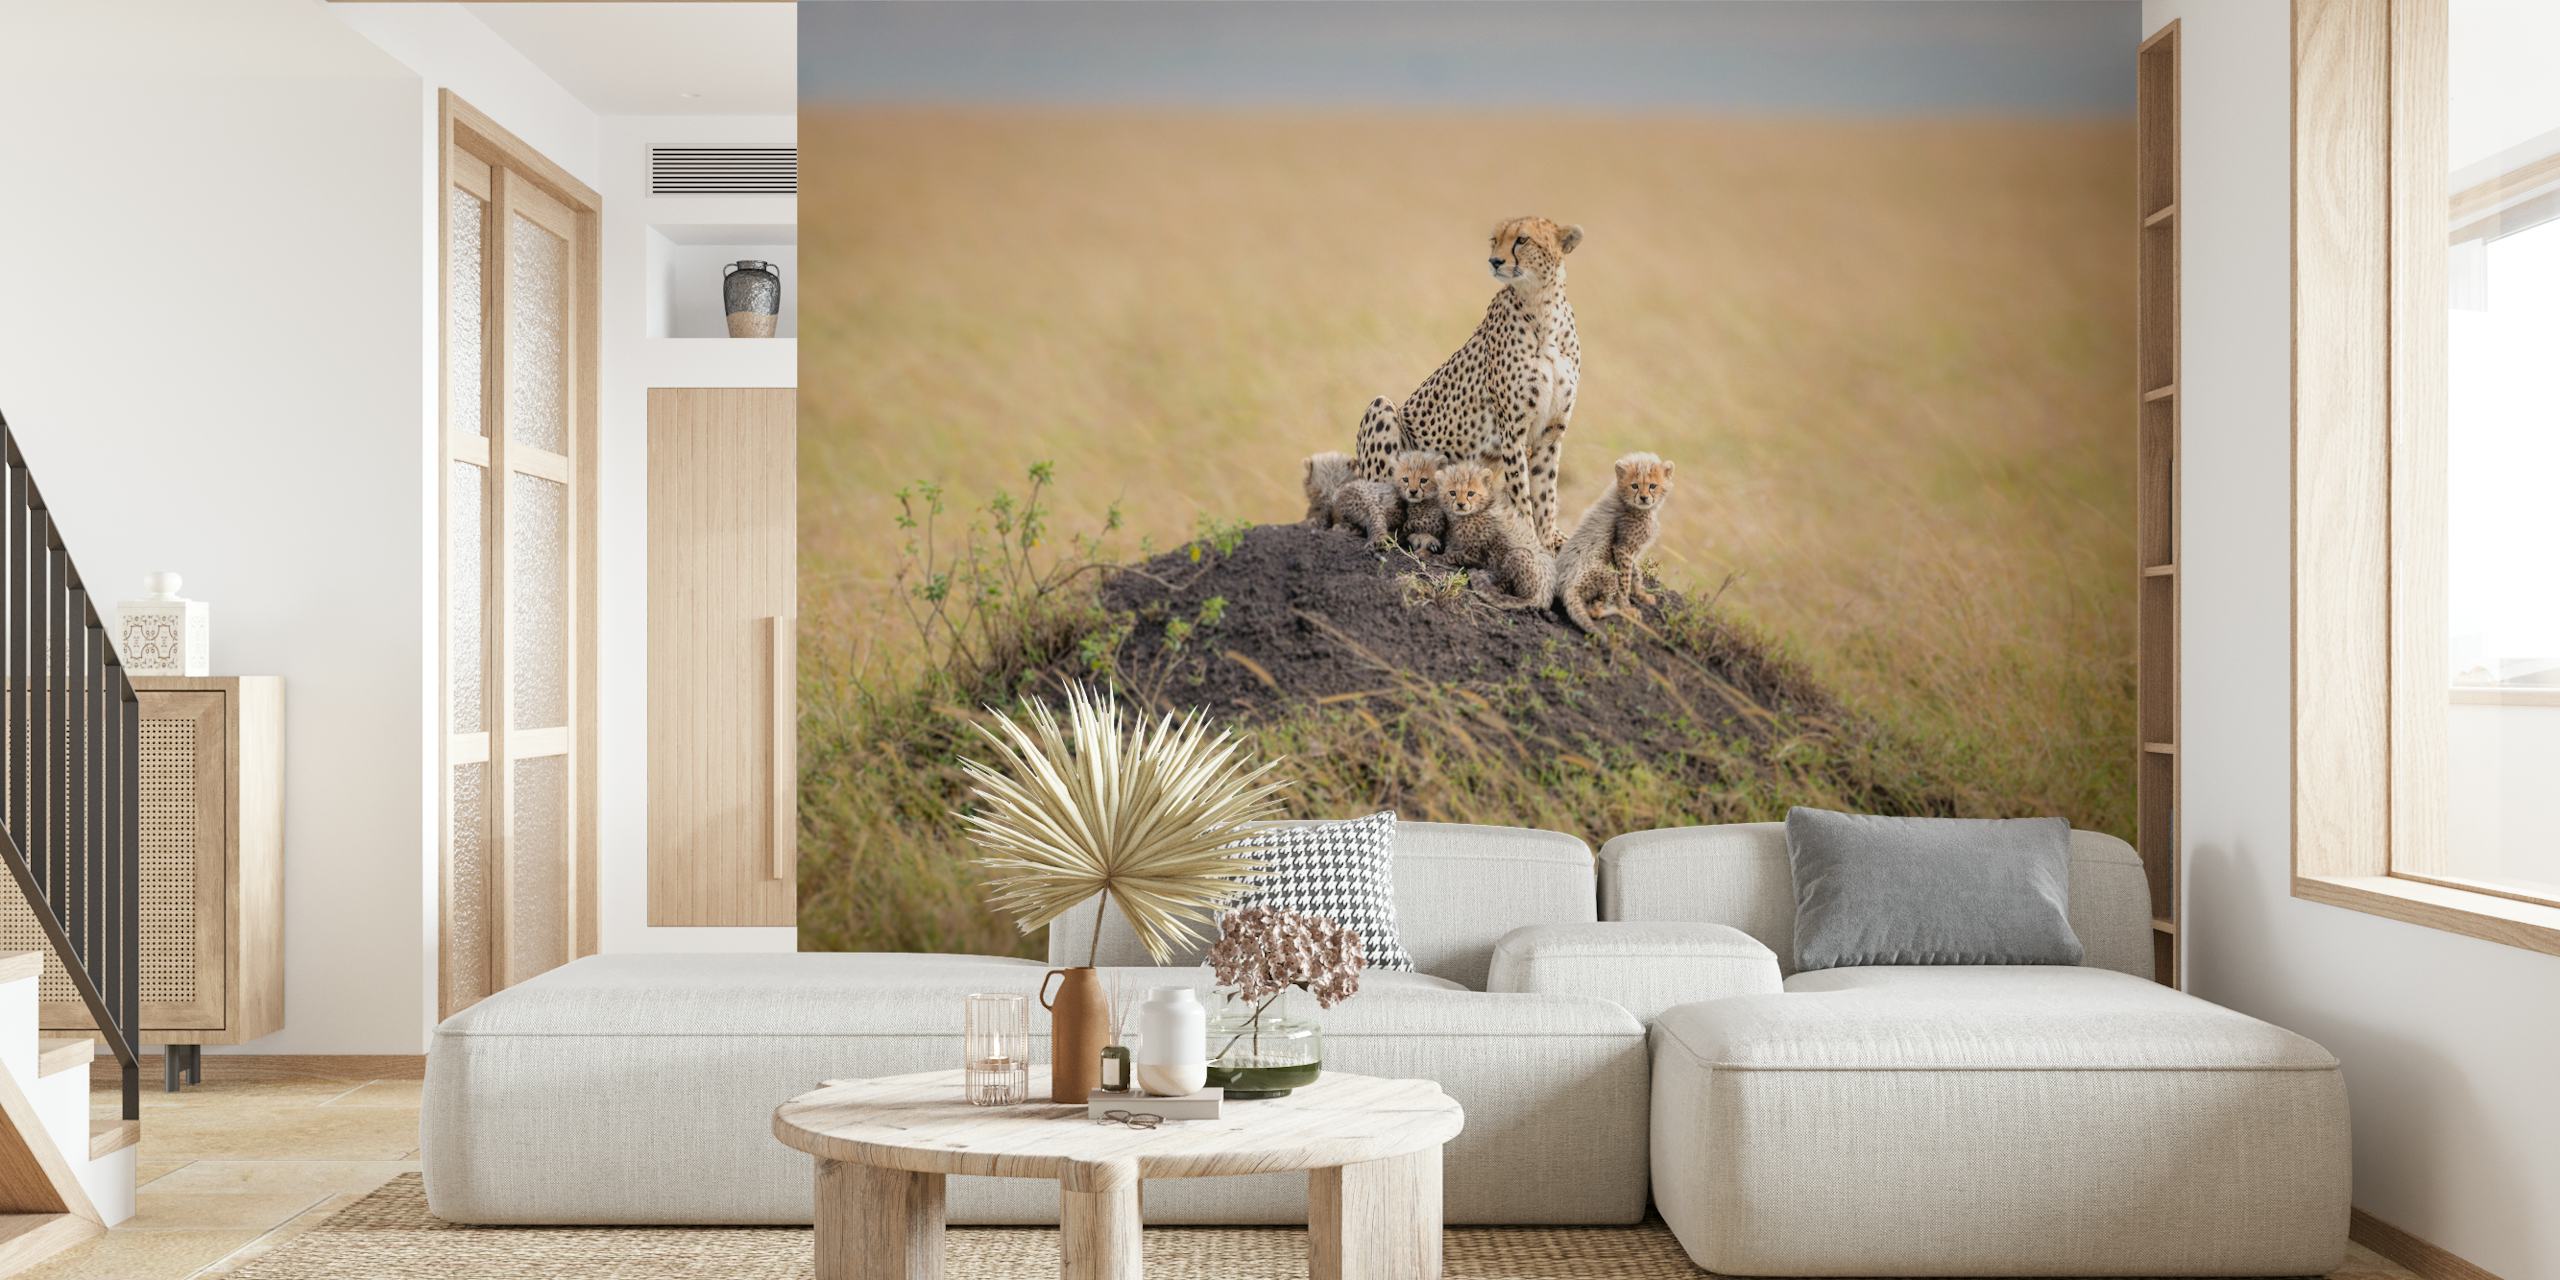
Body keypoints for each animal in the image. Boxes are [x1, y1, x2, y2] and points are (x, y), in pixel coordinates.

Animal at [1353, 216, 1585, 551]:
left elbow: (1546, 495)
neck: (1542, 307)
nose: (1495, 261)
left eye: (1522, 240)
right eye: (1494, 240)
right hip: (1381, 409)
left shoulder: (1550, 433)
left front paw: (1546, 541)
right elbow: (1522, 494)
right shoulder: (1512, 432)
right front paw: (1529, 540)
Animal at [1437, 459, 1555, 611]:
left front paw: (1437, 557)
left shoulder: (1477, 553)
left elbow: (1454, 555)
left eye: (1470, 493)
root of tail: (1544, 600)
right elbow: (1451, 548)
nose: (1461, 504)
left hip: (1517, 554)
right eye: (1452, 493)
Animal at [1553, 452, 1674, 632]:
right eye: (1634, 486)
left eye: (1652, 486)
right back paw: (1617, 610)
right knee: (1595, 610)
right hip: (1608, 575)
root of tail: (1566, 587)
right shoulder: (1622, 548)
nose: (1644, 498)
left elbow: (1635, 572)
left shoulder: (1630, 551)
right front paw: (1627, 607)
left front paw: (1642, 594)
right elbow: (1625, 581)